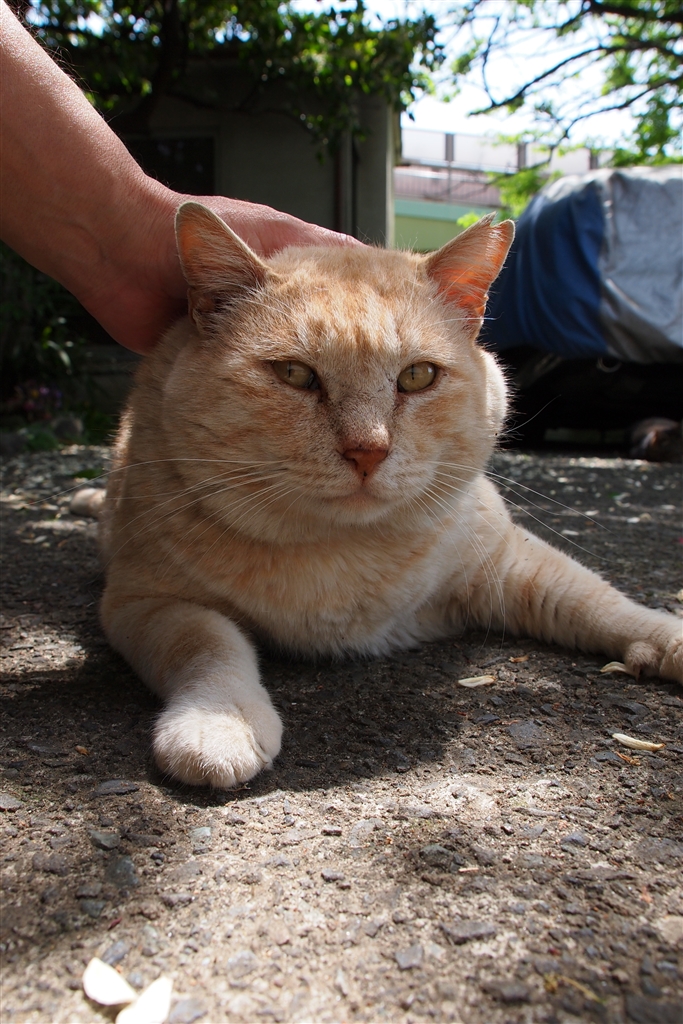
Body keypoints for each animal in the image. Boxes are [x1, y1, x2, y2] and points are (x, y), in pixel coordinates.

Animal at [90, 201, 682, 789]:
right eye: (295, 374)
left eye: (418, 376)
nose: (367, 451)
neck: (347, 551)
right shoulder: (145, 603)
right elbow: (209, 644)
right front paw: (218, 722)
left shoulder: (509, 561)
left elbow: (597, 601)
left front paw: (666, 637)